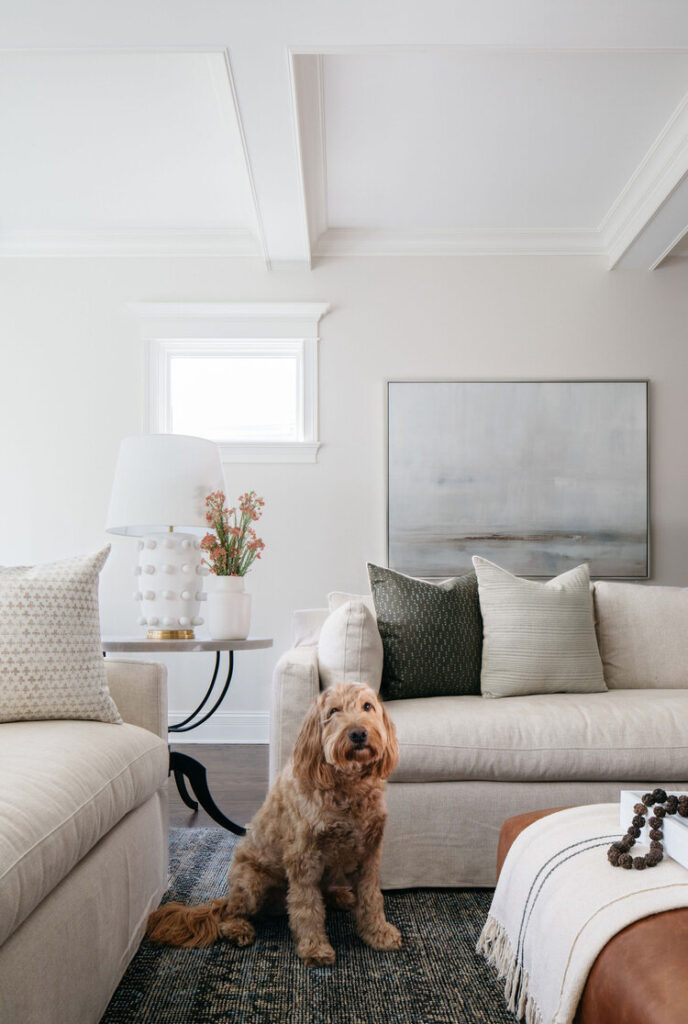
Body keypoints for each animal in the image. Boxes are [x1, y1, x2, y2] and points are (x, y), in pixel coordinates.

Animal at [147, 684, 401, 962]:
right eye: (334, 711)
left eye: (368, 706)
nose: (358, 733)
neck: (348, 786)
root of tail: (227, 898)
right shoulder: (303, 858)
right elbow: (307, 908)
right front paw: (315, 948)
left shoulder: (369, 854)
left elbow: (371, 899)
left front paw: (378, 934)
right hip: (251, 882)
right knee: (231, 914)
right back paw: (239, 929)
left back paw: (338, 895)